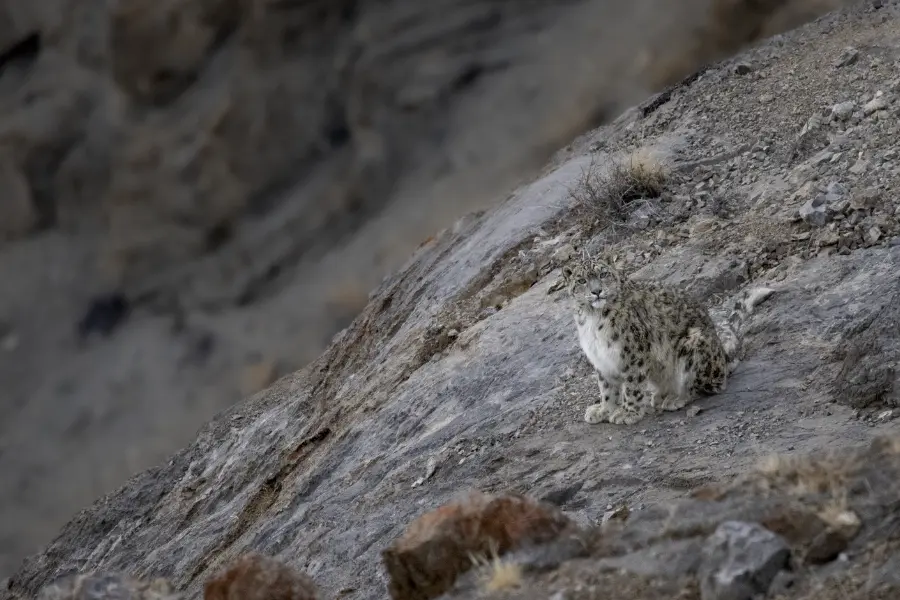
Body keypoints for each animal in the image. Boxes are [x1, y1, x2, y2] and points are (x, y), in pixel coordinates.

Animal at [556, 253, 774, 425]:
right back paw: (660, 396)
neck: (592, 318)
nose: (596, 291)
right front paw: (603, 410)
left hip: (693, 346)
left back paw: (675, 398)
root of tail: (722, 355)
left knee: (708, 385)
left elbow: (632, 386)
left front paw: (628, 413)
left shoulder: (633, 353)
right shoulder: (601, 358)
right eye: (581, 280)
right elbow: (607, 388)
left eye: (603, 274)